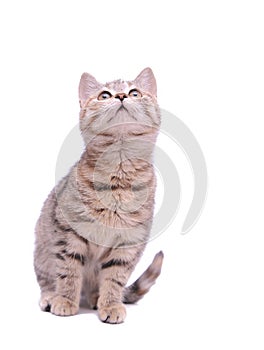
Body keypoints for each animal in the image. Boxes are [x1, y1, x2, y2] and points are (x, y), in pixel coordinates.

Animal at [34, 67, 164, 324]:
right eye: (104, 95)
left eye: (134, 93)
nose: (121, 96)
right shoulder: (68, 233)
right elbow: (68, 271)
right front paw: (65, 300)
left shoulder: (129, 241)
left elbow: (114, 278)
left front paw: (111, 304)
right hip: (41, 252)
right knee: (47, 280)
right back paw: (51, 296)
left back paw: (96, 298)